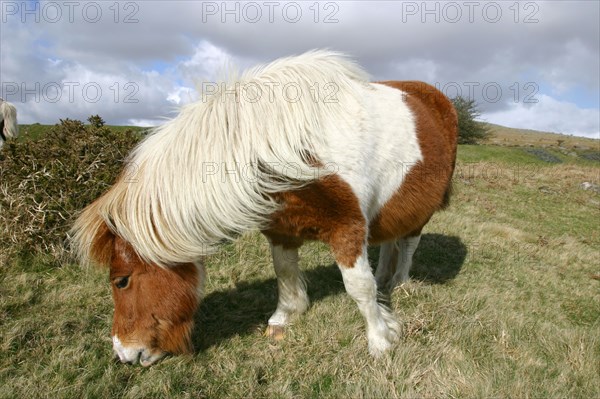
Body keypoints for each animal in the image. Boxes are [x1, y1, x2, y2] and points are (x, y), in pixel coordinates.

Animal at [70, 51, 458, 368]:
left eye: (121, 280)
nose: (124, 354)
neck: (284, 146)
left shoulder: (348, 228)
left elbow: (358, 287)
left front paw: (381, 338)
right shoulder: (280, 229)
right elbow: (284, 273)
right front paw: (285, 317)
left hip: (421, 212)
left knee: (408, 244)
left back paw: (401, 283)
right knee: (390, 242)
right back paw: (386, 282)